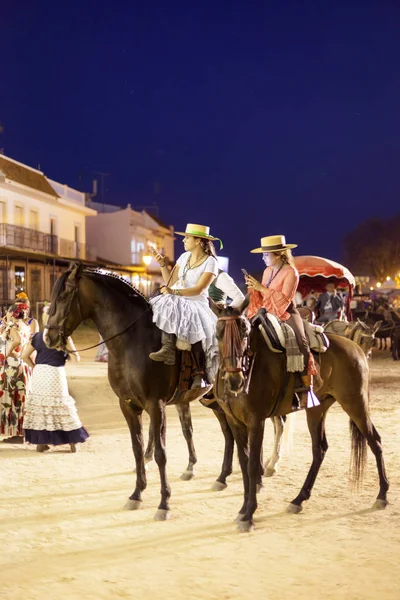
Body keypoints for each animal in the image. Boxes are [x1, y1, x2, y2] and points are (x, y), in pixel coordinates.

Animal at [212, 302, 390, 532]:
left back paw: (382, 495)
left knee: (374, 441)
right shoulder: (236, 422)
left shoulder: (256, 421)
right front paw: (243, 510)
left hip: (355, 403)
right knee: (319, 449)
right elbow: (243, 463)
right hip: (317, 409)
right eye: (218, 333)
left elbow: (251, 467)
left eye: (245, 333)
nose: (235, 380)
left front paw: (249, 514)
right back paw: (298, 499)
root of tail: (355, 347)